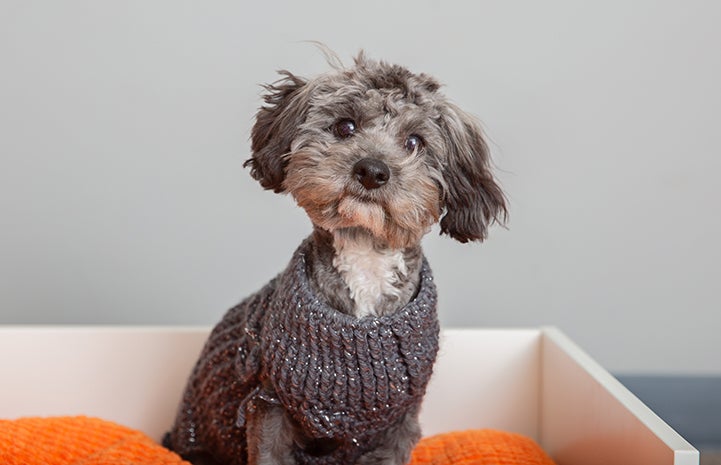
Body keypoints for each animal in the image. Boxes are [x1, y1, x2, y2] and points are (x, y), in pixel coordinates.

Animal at [167, 52, 510, 462]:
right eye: (345, 126)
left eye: (415, 141)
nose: (372, 170)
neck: (365, 258)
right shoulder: (269, 402)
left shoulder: (398, 423)